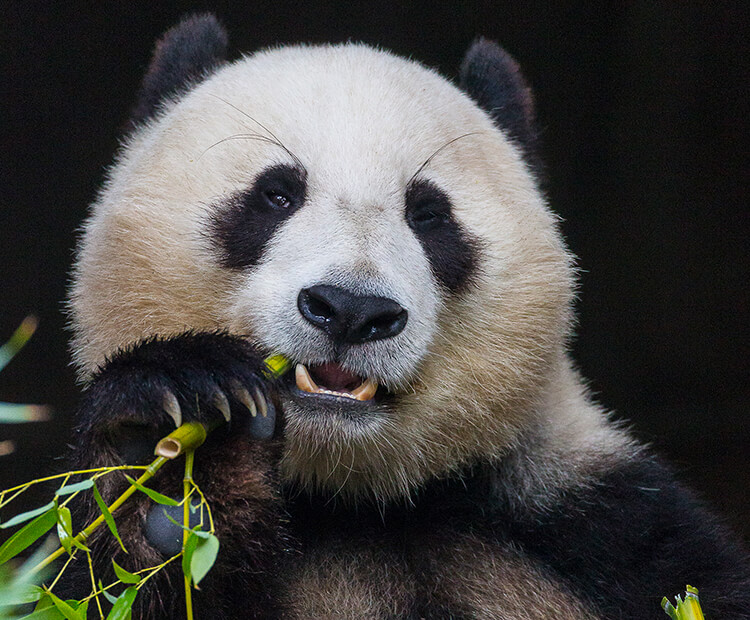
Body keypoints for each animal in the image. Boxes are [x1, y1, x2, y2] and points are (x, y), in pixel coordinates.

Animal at [63, 12, 750, 616]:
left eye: (429, 215)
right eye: (276, 194)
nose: (350, 310)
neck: (353, 503)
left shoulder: (594, 524)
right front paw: (179, 447)